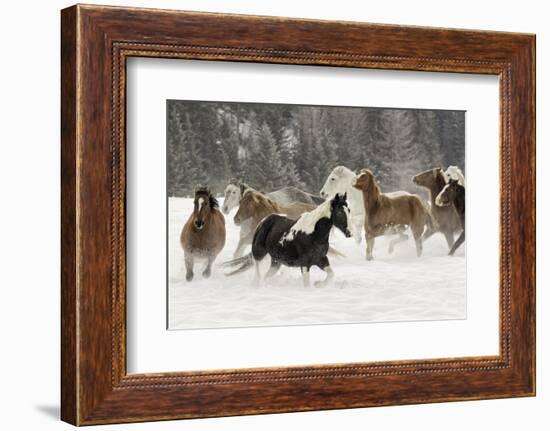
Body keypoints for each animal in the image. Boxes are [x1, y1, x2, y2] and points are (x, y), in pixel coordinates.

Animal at [224, 194, 354, 288]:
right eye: (339, 212)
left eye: (349, 210)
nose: (349, 233)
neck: (313, 233)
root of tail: (265, 220)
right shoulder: (305, 263)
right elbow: (307, 285)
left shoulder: (321, 259)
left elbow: (331, 274)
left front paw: (319, 284)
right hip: (259, 251)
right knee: (257, 267)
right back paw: (257, 283)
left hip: (276, 262)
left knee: (266, 275)